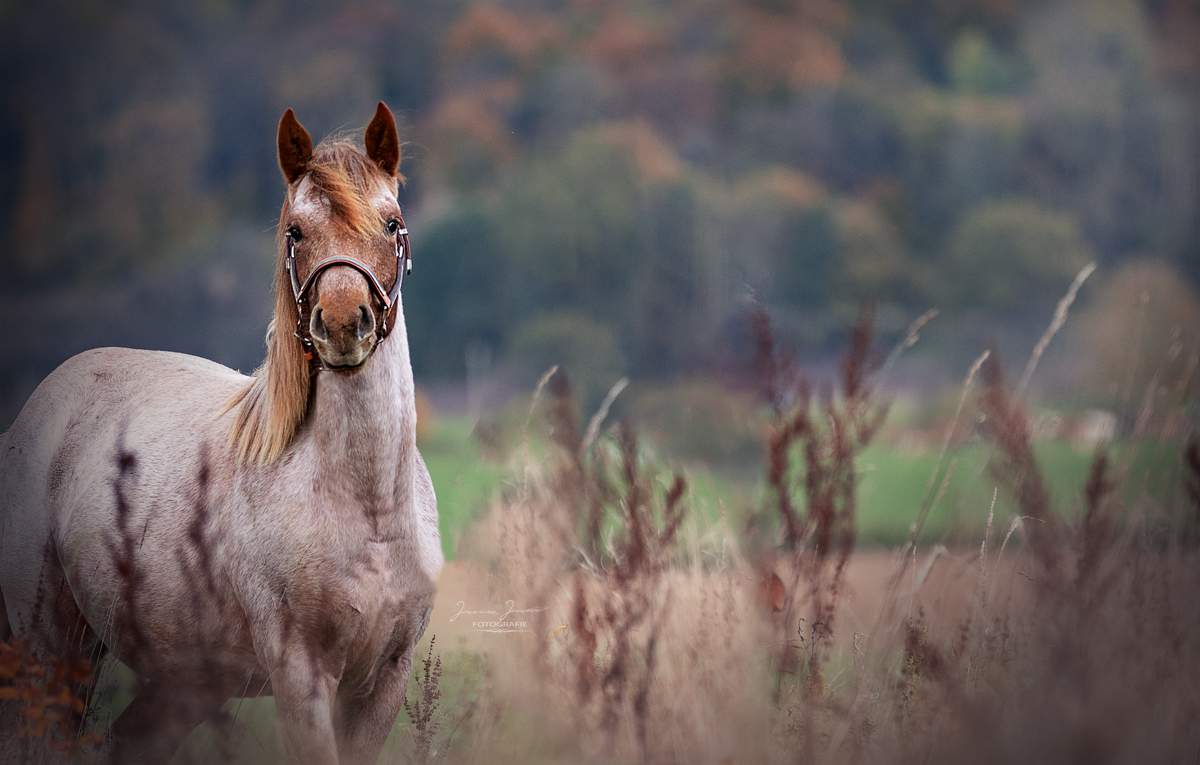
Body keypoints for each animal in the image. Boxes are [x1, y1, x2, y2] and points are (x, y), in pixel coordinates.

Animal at [0, 103, 444, 765]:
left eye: (392, 224)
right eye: (295, 233)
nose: (344, 324)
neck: (368, 511)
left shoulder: (382, 681)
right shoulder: (301, 677)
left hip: (179, 683)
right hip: (49, 650)